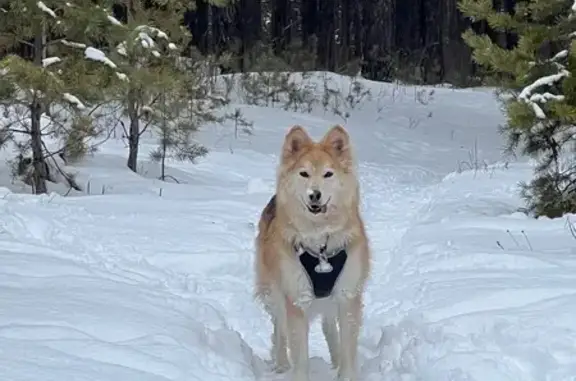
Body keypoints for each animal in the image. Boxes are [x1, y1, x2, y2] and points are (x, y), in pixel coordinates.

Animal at [254, 124, 372, 380]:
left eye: (328, 174)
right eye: (304, 174)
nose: (314, 195)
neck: (320, 246)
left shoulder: (347, 296)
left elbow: (348, 347)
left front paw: (343, 371)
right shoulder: (297, 297)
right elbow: (299, 354)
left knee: (328, 325)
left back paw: (334, 360)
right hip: (274, 291)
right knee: (279, 328)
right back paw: (281, 365)